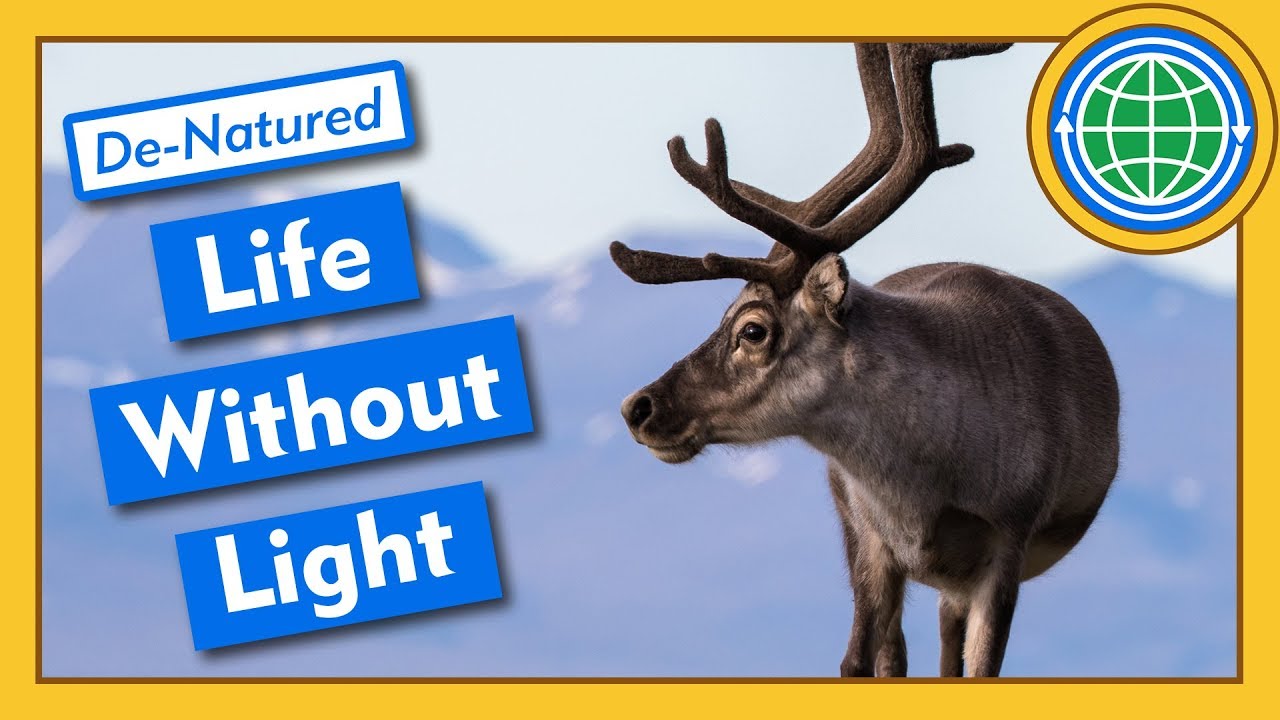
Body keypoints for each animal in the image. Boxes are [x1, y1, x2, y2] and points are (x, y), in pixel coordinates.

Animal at [611, 42, 1120, 678]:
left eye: (752, 329)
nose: (639, 407)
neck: (934, 479)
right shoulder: (872, 541)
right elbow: (857, 662)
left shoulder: (1008, 541)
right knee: (895, 653)